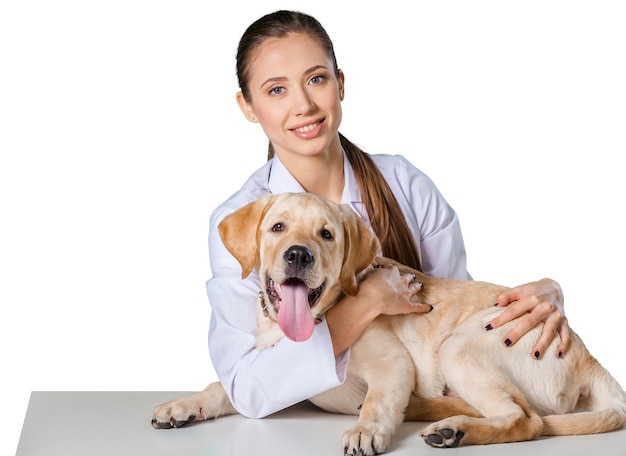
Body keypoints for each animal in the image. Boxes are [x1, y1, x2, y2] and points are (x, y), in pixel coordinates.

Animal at [152, 191, 624, 452]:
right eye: (278, 228)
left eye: (326, 234)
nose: (298, 255)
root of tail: (592, 360)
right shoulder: (266, 381)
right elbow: (223, 386)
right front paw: (182, 405)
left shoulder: (391, 364)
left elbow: (378, 400)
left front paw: (366, 431)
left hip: (462, 343)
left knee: (527, 420)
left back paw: (452, 429)